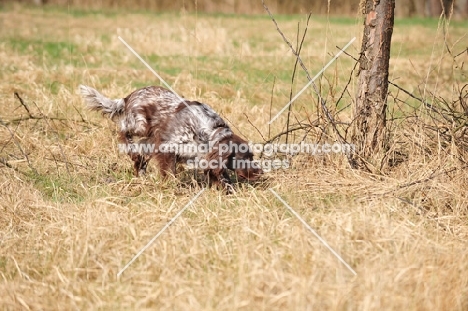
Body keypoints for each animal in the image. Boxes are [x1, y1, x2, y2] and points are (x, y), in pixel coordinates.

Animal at [80, 86, 264, 193]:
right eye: (243, 158)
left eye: (252, 157)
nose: (260, 172)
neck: (208, 133)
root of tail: (129, 96)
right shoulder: (167, 148)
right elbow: (169, 172)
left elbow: (223, 178)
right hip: (139, 126)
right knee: (124, 132)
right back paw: (131, 150)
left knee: (140, 159)